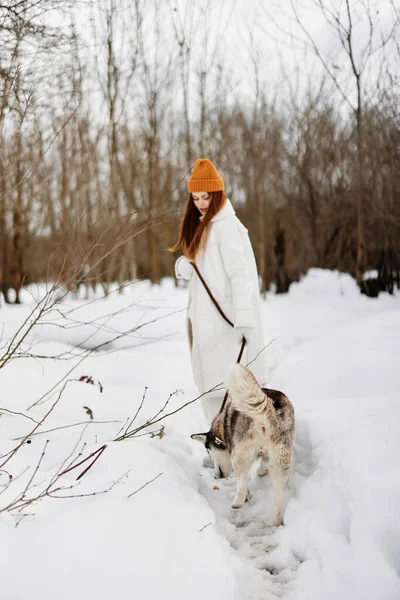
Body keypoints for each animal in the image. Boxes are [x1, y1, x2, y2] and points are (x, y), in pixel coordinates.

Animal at [192, 360, 296, 524]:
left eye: (211, 455)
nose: (216, 476)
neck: (223, 425)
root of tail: (269, 410)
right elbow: (264, 462)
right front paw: (262, 471)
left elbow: (244, 481)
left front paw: (246, 494)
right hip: (281, 460)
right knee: (278, 496)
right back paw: (274, 519)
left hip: (239, 455)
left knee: (241, 481)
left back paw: (238, 502)